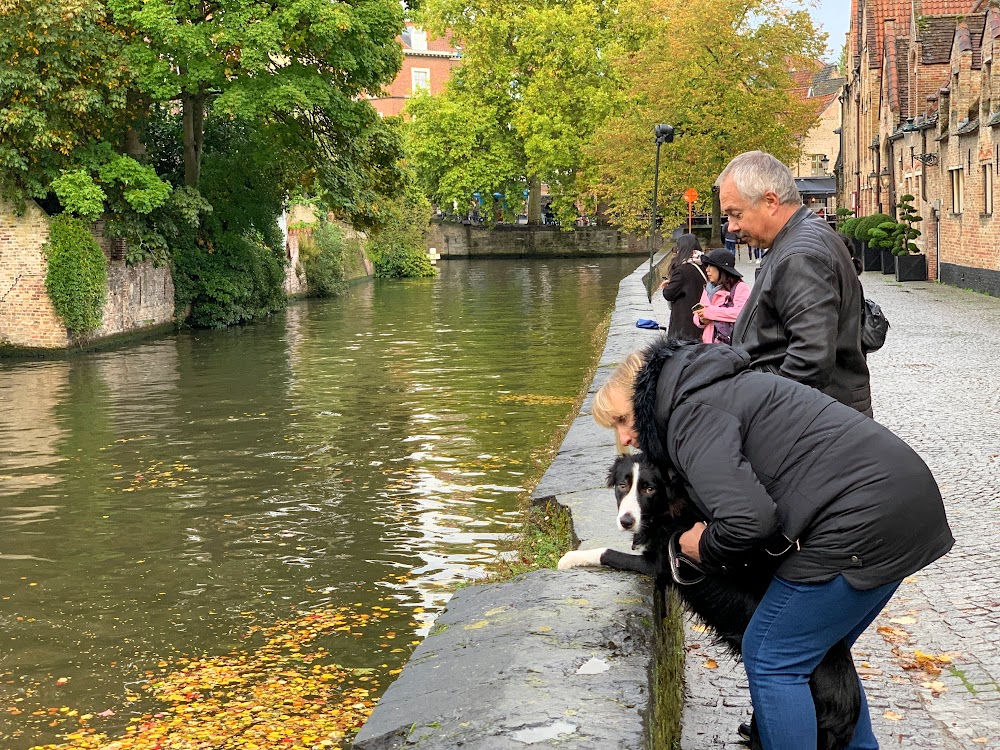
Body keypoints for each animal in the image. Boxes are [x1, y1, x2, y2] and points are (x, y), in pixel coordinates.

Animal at [560, 452, 864, 750]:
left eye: (649, 488)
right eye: (623, 485)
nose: (626, 521)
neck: (671, 506)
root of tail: (847, 712)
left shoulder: (658, 565)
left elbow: (607, 552)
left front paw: (568, 559)